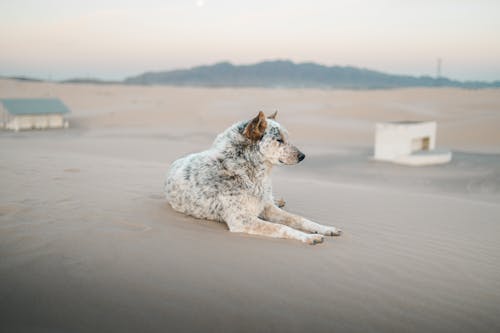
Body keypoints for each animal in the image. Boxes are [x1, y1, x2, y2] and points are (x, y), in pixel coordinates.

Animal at [163, 111, 340, 244]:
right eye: (279, 140)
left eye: (287, 138)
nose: (303, 156)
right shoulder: (242, 220)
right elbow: (282, 227)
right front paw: (307, 237)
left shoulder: (267, 208)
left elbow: (299, 219)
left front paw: (325, 228)